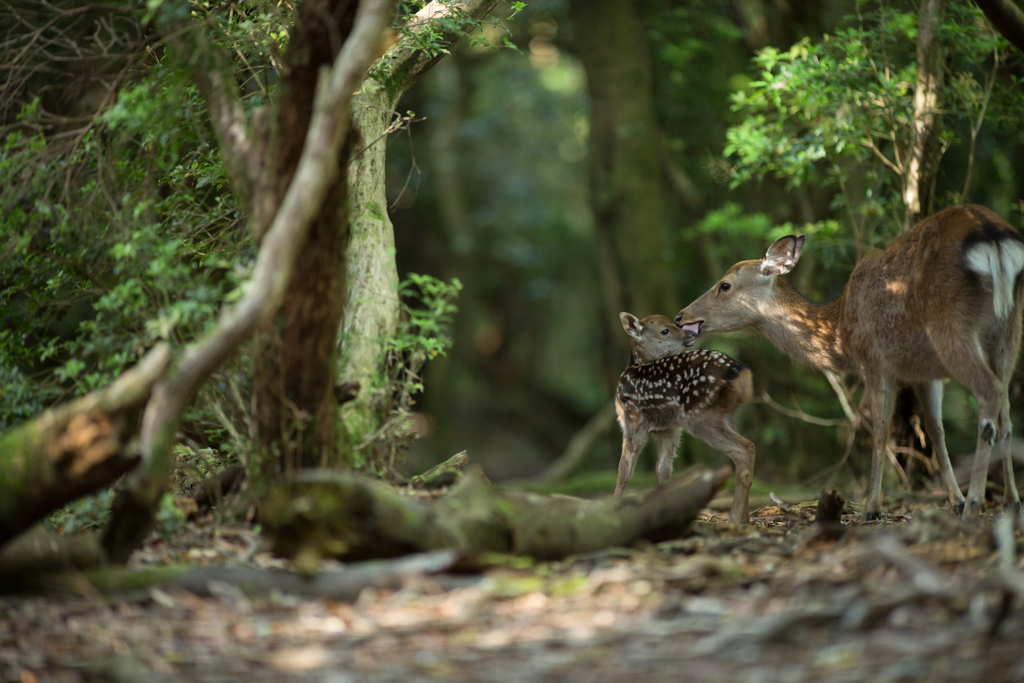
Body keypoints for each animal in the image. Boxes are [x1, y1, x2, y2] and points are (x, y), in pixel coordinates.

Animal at [675, 205, 1019, 520]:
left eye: (724, 285)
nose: (681, 316)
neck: (841, 334)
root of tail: (991, 235)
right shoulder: (926, 372)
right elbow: (936, 429)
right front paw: (953, 500)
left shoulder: (875, 361)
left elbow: (880, 431)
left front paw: (872, 509)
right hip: (1008, 331)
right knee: (1005, 409)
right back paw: (1009, 501)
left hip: (950, 323)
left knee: (989, 392)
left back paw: (975, 506)